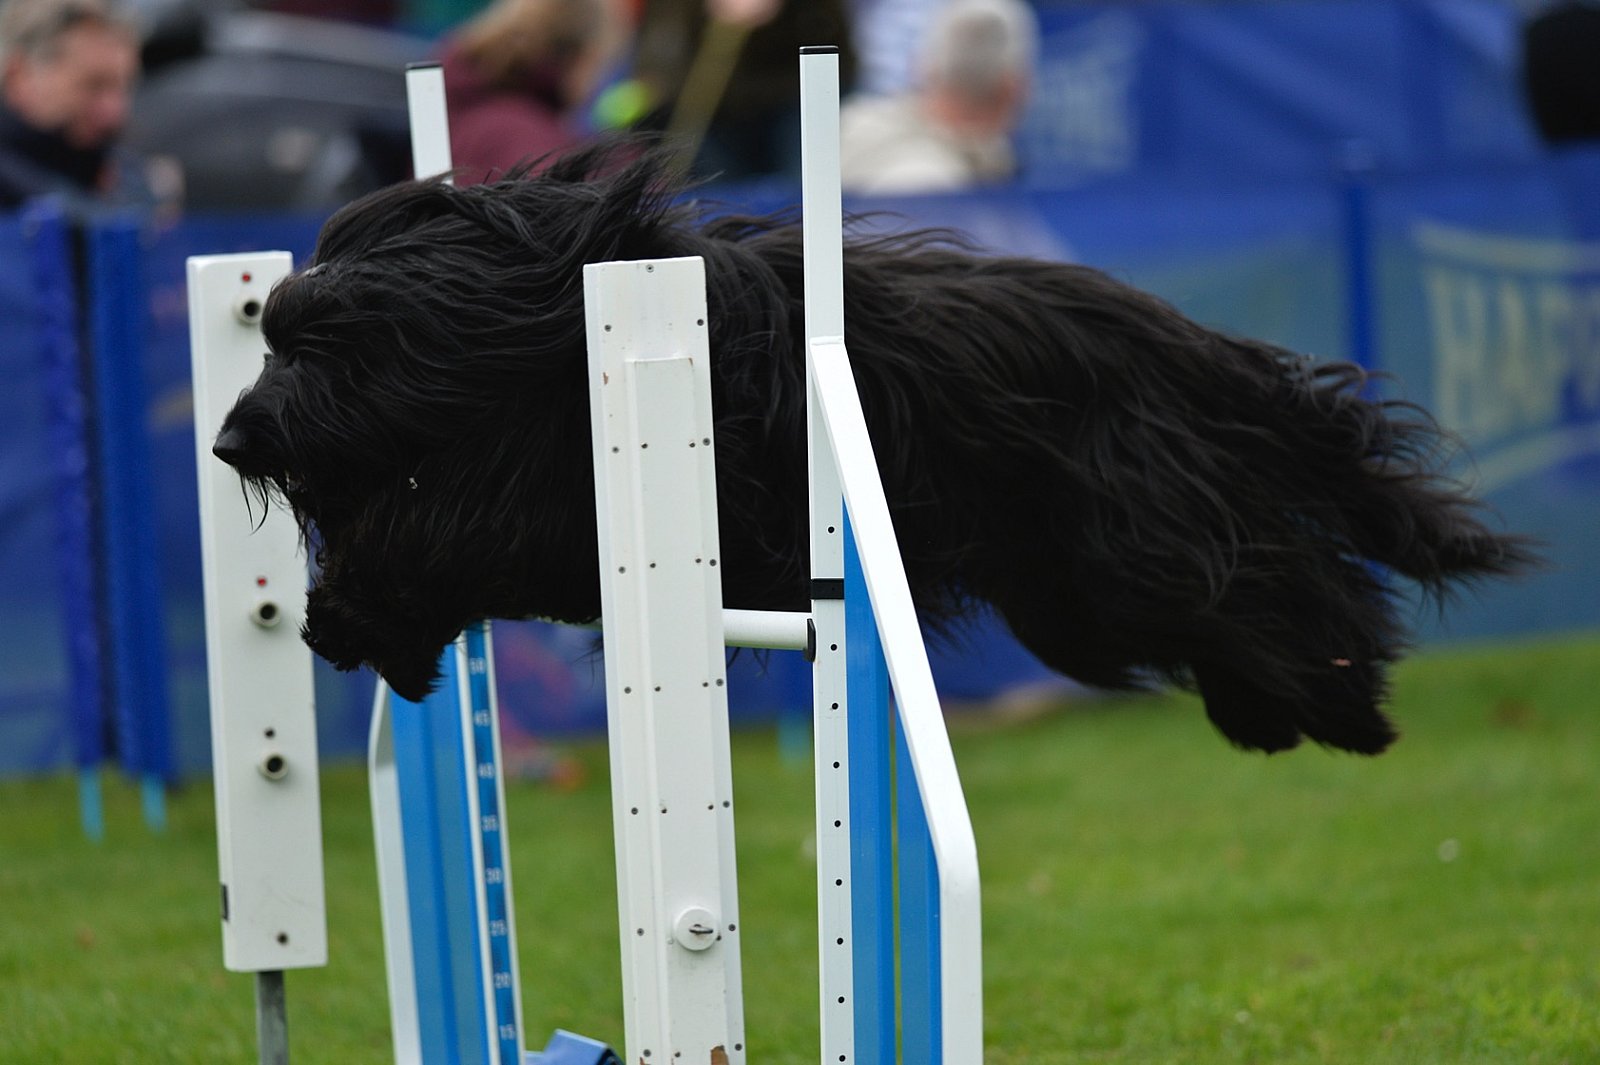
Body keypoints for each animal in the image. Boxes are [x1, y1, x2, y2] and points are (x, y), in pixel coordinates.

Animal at [211, 141, 1534, 754]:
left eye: (326, 345)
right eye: (270, 334)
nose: (229, 441)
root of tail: (1172, 334)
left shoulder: (577, 488)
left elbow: (454, 528)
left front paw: (363, 614)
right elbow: (433, 530)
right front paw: (363, 626)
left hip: (1125, 534)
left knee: (1272, 576)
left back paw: (1345, 698)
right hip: (1069, 583)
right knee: (1236, 595)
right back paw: (1285, 707)